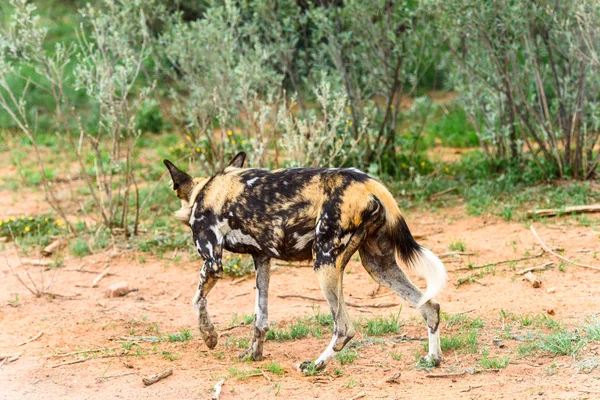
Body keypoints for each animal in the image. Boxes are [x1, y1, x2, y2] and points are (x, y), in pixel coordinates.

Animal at [163, 153, 446, 372]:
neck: (204, 190)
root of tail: (369, 184)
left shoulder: (212, 263)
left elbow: (197, 300)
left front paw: (209, 336)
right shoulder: (262, 260)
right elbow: (260, 319)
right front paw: (253, 354)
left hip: (324, 263)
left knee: (344, 328)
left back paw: (315, 365)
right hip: (378, 266)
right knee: (429, 306)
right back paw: (432, 358)